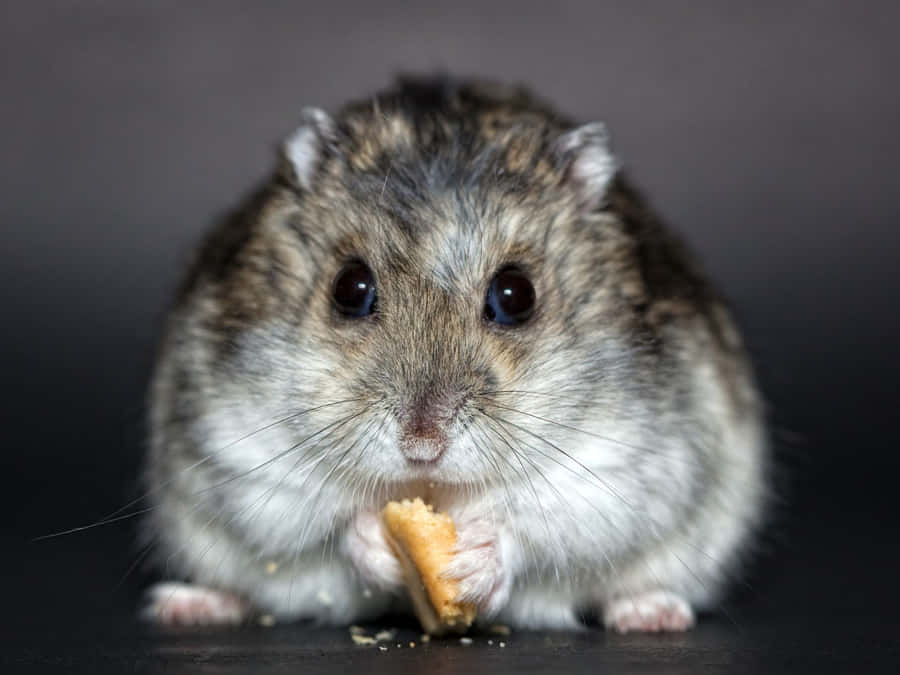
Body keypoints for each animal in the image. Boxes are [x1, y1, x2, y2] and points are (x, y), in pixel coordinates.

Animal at [141, 76, 767, 632]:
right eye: (349, 288)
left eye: (516, 295)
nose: (422, 446)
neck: (434, 490)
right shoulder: (240, 451)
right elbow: (322, 521)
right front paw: (376, 540)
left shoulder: (624, 465)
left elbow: (543, 525)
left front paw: (473, 560)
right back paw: (188, 605)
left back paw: (652, 614)